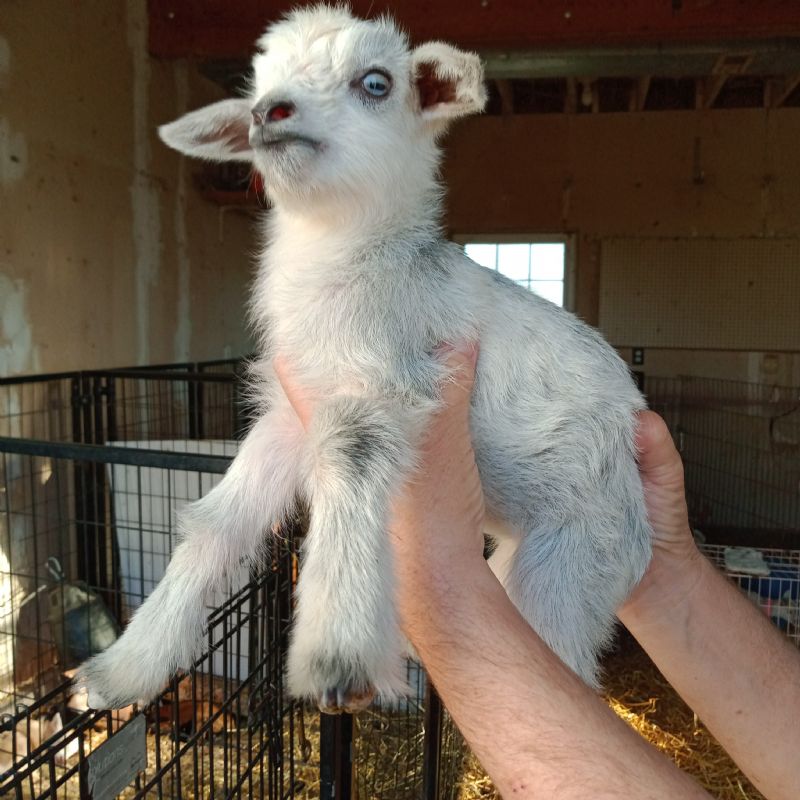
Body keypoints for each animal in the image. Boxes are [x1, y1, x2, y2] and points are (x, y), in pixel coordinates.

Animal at [78, 4, 652, 714]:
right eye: (257, 86)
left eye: (376, 82)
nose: (268, 112)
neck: (337, 260)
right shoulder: (289, 413)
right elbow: (218, 523)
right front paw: (120, 669)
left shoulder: (386, 383)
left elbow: (349, 469)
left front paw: (337, 654)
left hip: (576, 559)